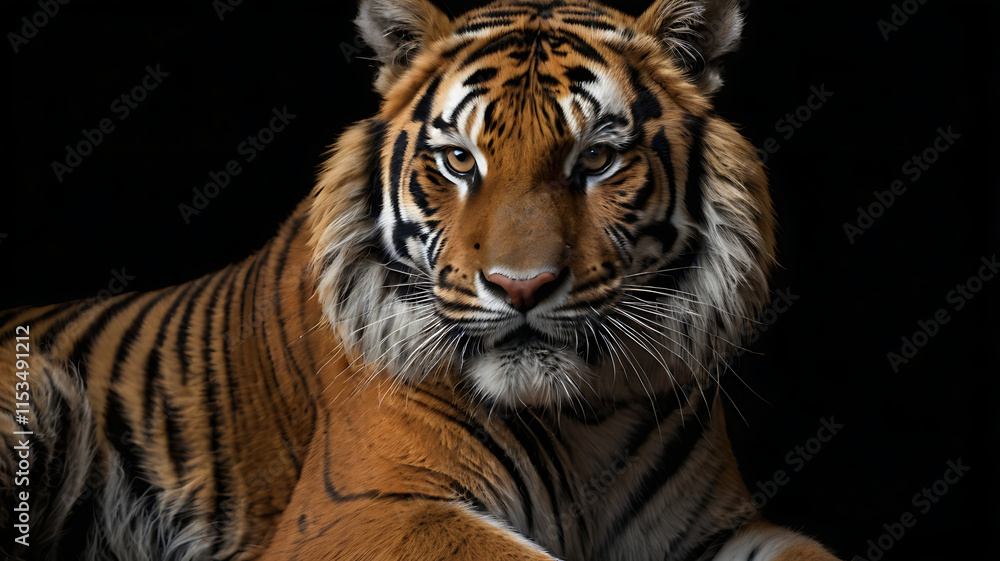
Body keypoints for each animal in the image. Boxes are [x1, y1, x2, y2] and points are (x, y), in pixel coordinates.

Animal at [0, 0, 842, 560]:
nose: (522, 286)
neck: (584, 421)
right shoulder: (371, 507)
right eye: (460, 160)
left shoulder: (715, 527)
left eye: (598, 159)